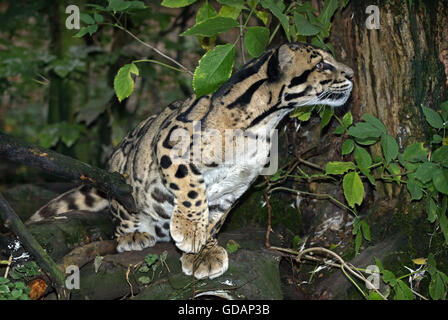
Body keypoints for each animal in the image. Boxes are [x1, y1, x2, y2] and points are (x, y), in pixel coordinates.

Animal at [29, 43, 356, 280]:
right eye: (322, 64)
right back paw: (134, 232)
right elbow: (192, 189)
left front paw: (202, 252)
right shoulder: (171, 142)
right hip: (120, 172)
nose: (353, 74)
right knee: (119, 212)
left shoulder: (236, 187)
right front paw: (189, 231)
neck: (264, 123)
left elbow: (215, 219)